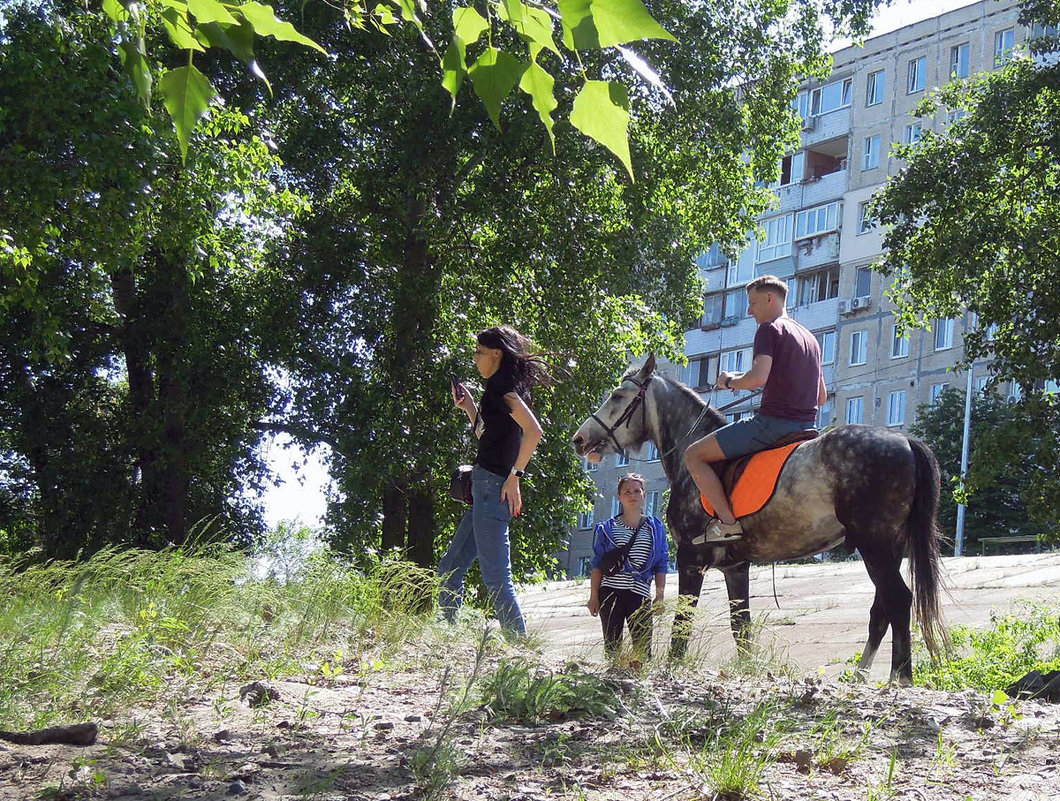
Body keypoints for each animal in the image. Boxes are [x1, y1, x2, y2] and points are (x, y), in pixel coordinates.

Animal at [576, 356, 949, 682]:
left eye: (617, 396)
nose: (580, 439)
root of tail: (904, 439)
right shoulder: (736, 567)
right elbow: (741, 626)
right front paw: (746, 670)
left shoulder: (690, 560)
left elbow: (684, 623)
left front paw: (674, 668)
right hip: (886, 549)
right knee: (881, 610)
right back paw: (861, 676)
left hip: (876, 546)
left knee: (898, 601)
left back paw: (900, 677)